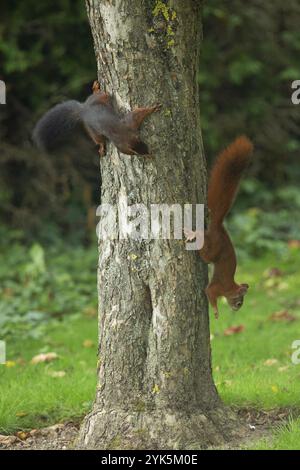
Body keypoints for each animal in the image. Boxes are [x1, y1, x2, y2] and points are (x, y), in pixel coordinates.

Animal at [32, 80, 162, 155]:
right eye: (141, 153)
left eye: (145, 145)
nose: (150, 155)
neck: (124, 136)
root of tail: (84, 110)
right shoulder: (124, 137)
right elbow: (137, 114)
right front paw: (153, 108)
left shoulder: (130, 126)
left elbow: (138, 114)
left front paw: (152, 108)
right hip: (93, 130)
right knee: (98, 140)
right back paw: (101, 146)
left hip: (100, 98)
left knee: (97, 93)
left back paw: (95, 87)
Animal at [188, 136, 253, 320]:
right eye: (239, 302)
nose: (236, 310)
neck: (230, 287)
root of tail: (219, 227)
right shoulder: (216, 288)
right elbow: (209, 293)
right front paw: (216, 312)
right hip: (212, 249)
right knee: (204, 250)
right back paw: (193, 234)